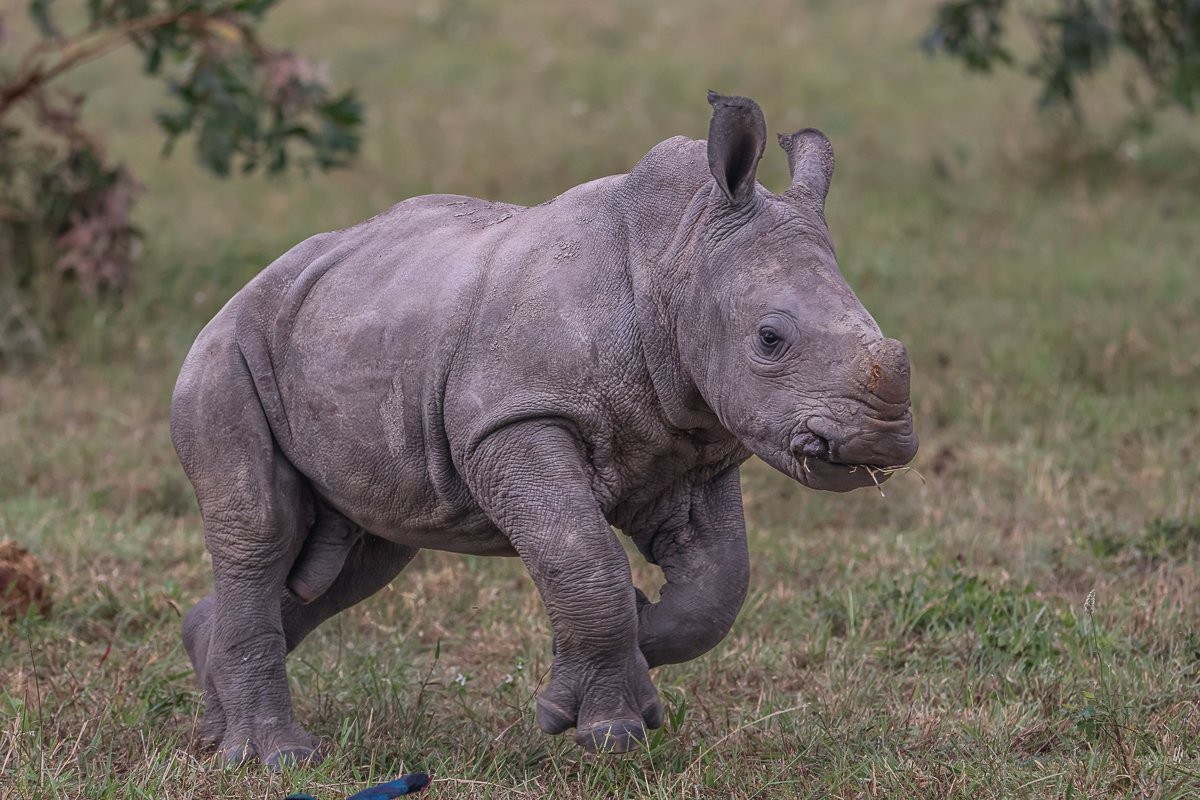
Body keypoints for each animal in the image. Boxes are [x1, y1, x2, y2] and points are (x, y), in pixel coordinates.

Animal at [171, 92, 918, 765]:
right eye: (770, 338)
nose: (880, 441)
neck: (680, 256)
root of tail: (249, 287)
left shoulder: (697, 445)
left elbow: (719, 585)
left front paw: (634, 644)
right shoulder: (514, 416)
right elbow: (582, 552)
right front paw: (607, 727)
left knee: (359, 557)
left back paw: (214, 725)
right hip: (229, 353)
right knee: (262, 527)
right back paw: (276, 758)